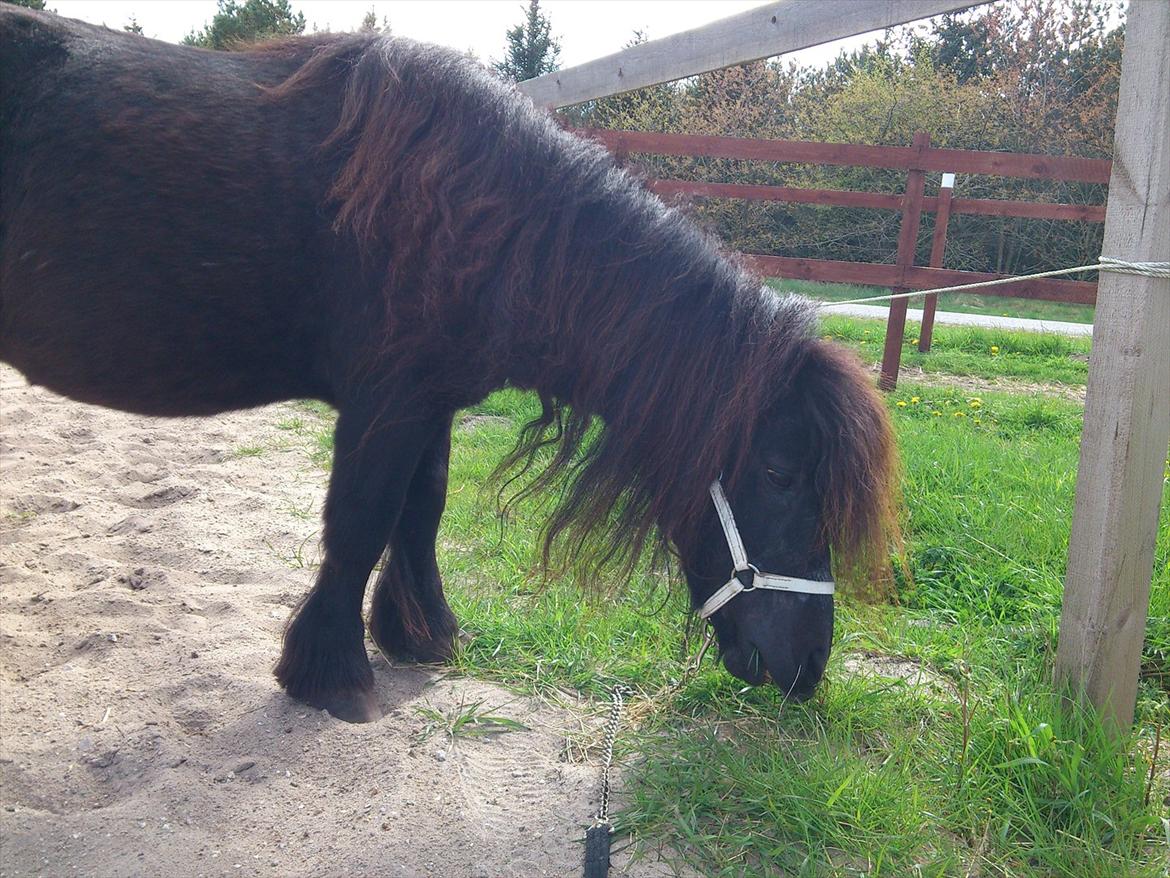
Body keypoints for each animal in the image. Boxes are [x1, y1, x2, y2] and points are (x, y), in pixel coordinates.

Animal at [0, 6, 898, 721]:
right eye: (780, 475)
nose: (808, 667)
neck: (484, 216)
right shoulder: (387, 401)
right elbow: (361, 521)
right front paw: (331, 673)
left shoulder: (430, 403)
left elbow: (419, 511)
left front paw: (420, 633)